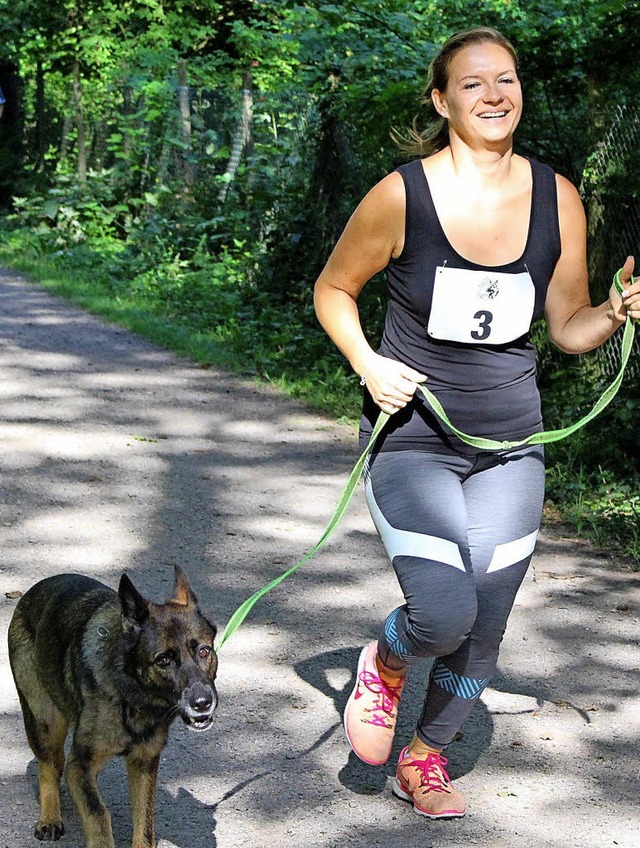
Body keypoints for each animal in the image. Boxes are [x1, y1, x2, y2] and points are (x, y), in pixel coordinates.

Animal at [7, 564, 219, 848]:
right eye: (163, 661)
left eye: (204, 652)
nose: (203, 703)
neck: (129, 694)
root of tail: (35, 590)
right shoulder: (80, 766)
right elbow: (98, 812)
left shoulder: (144, 763)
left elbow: (145, 823)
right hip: (45, 722)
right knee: (49, 767)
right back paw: (50, 817)